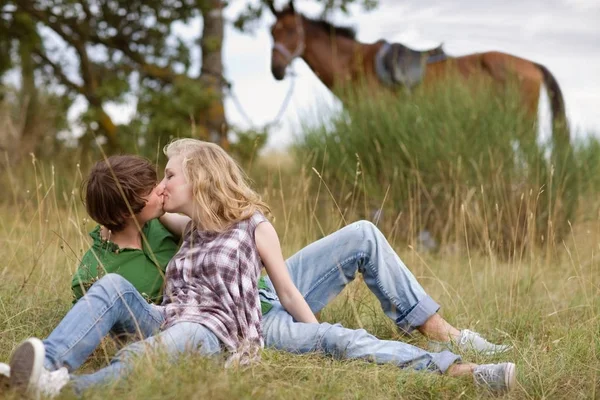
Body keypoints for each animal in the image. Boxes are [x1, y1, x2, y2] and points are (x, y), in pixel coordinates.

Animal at [268, 1, 568, 141]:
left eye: (292, 31)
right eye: (272, 32)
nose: (276, 69)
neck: (355, 65)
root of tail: (531, 64)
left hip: (524, 127)